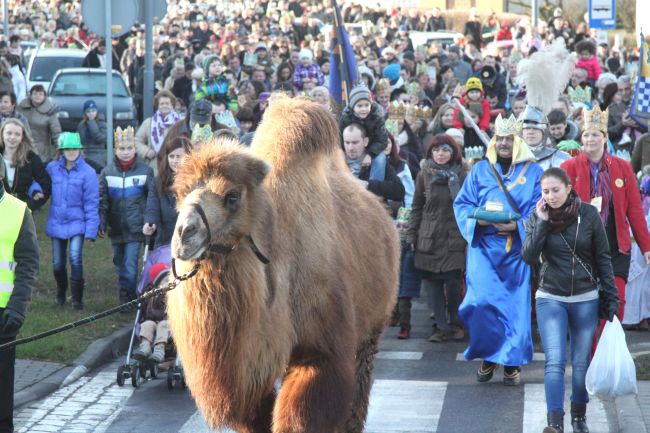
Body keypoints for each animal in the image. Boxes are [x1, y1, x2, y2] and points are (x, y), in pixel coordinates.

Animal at [166, 97, 400, 432]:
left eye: (232, 197)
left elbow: (302, 413)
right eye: (179, 192)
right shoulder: (251, 373)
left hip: (371, 328)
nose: (185, 233)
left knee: (358, 392)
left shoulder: (322, 351)